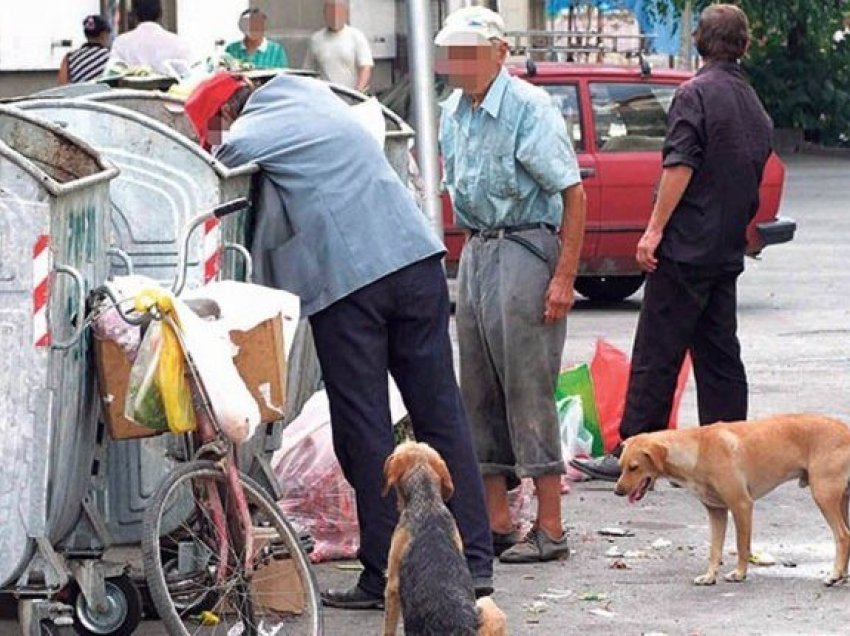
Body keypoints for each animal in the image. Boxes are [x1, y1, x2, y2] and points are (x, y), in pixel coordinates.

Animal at [612, 412, 848, 588]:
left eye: (634, 467)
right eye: (621, 466)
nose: (617, 491)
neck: (697, 450)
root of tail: (845, 429)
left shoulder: (741, 505)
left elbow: (742, 546)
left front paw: (739, 573)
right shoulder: (716, 511)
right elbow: (715, 549)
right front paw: (709, 576)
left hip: (824, 495)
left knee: (843, 536)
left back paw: (834, 574)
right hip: (841, 501)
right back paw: (842, 575)